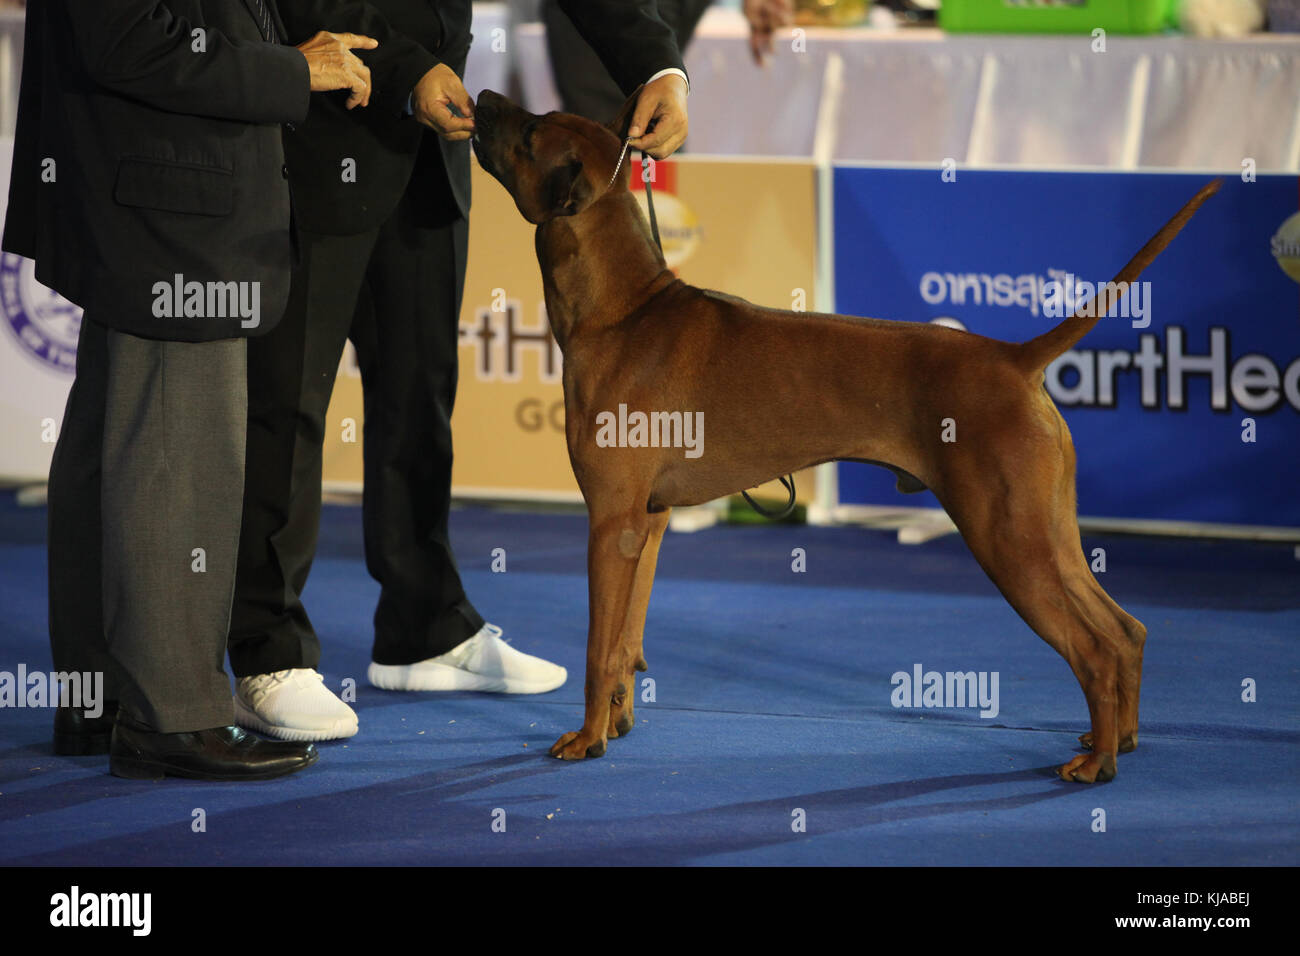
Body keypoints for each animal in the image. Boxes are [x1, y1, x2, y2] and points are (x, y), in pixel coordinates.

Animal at [475, 85, 1216, 780]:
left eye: (533, 129)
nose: (480, 97)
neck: (623, 310)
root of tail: (1013, 358)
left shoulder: (611, 521)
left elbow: (598, 647)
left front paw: (588, 738)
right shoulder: (647, 524)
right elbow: (627, 642)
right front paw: (619, 723)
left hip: (1007, 538)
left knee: (1093, 646)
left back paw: (1097, 764)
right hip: (1046, 531)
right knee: (1124, 630)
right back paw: (1118, 737)